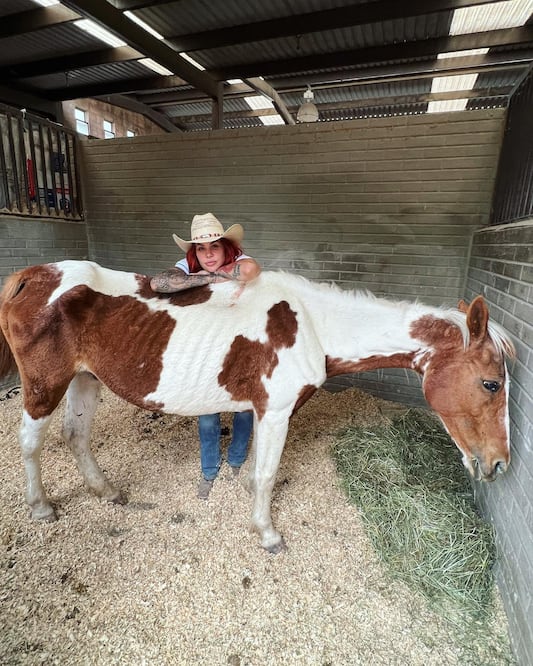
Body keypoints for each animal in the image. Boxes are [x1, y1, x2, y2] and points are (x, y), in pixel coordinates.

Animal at [0, 260, 515, 553]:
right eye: (491, 383)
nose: (498, 463)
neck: (314, 324)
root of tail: (31, 275)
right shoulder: (278, 409)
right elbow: (267, 473)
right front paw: (267, 534)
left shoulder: (265, 411)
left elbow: (255, 468)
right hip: (45, 385)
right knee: (30, 443)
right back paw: (41, 507)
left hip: (85, 379)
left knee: (76, 436)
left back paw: (107, 492)